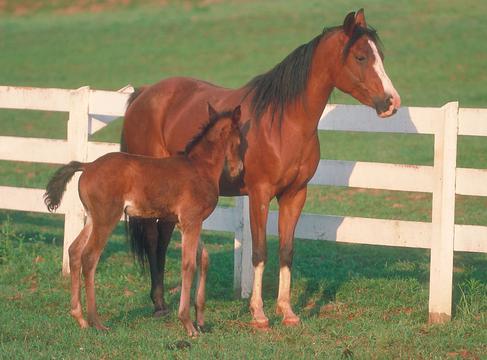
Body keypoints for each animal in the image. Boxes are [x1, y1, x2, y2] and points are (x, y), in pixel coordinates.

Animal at [44, 105, 243, 336]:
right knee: (89, 257)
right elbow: (189, 265)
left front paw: (200, 320)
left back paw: (80, 318)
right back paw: (96, 321)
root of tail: (88, 165)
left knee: (75, 251)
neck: (200, 167)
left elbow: (204, 259)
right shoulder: (191, 221)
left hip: (93, 219)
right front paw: (187, 324)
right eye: (240, 138)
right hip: (106, 219)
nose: (238, 169)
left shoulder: (187, 222)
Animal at [122, 9, 400, 328]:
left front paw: (287, 311)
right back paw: (158, 305)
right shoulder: (260, 195)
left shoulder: (295, 195)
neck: (283, 123)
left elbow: (286, 251)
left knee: (163, 237)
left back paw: (162, 302)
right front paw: (259, 313)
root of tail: (144, 95)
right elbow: (259, 251)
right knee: (153, 237)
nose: (392, 102)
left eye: (380, 55)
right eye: (360, 57)